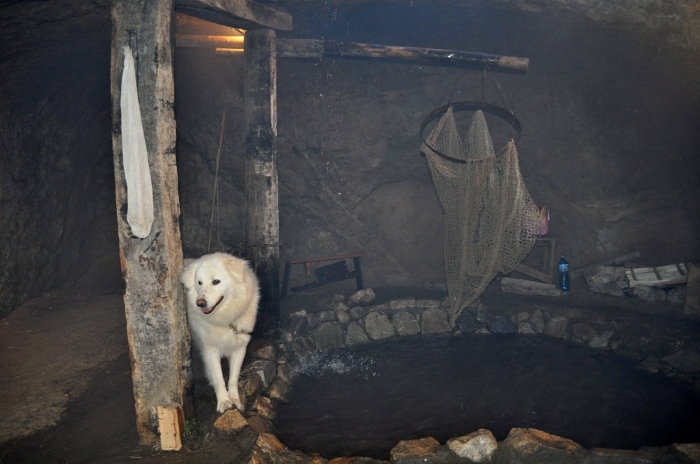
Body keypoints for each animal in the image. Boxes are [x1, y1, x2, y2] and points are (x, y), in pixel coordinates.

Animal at [180, 254, 260, 414]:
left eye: (216, 281)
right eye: (199, 283)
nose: (200, 303)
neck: (224, 319)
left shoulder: (239, 348)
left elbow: (233, 378)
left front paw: (235, 400)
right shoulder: (211, 349)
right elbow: (219, 378)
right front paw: (224, 402)